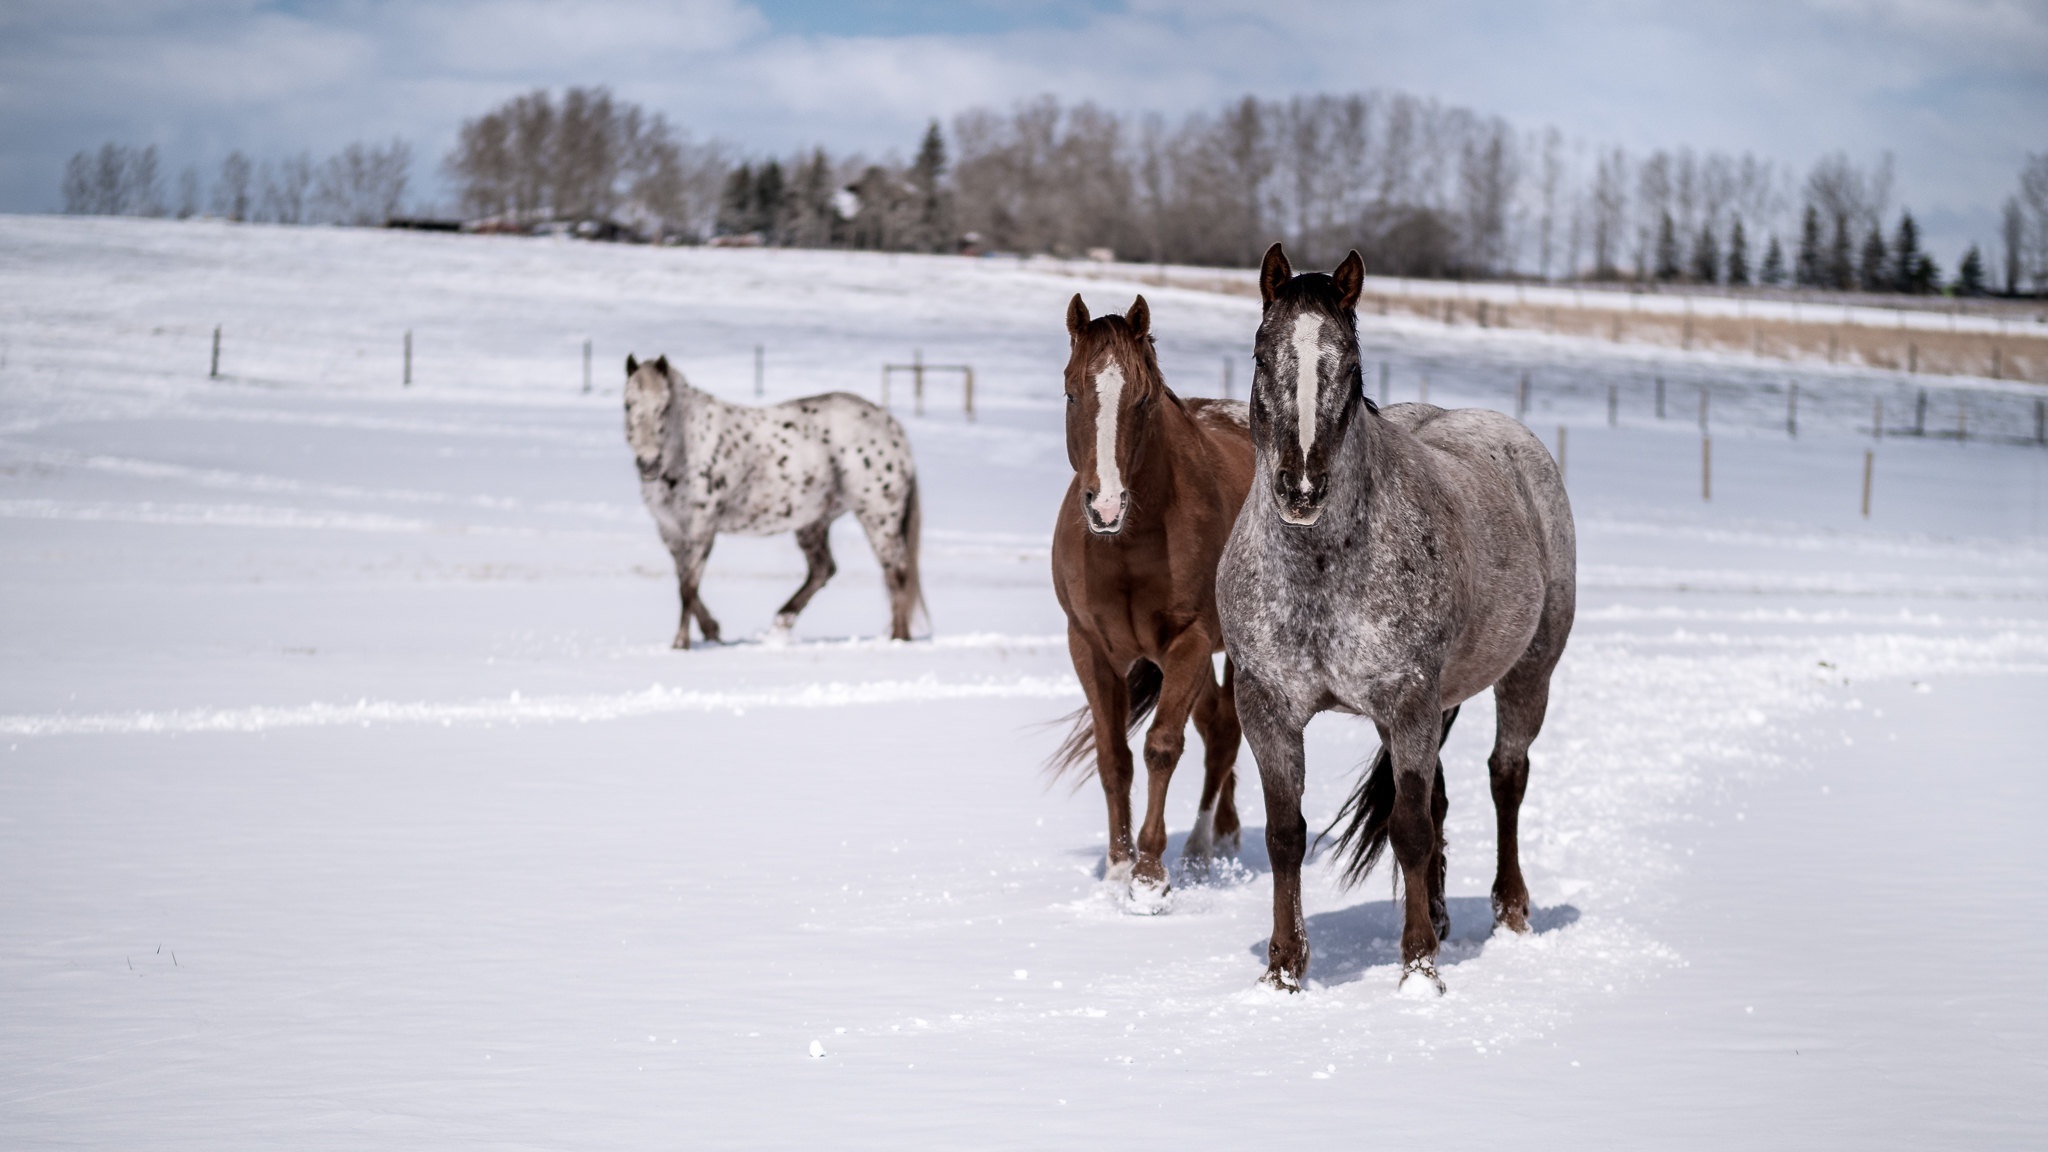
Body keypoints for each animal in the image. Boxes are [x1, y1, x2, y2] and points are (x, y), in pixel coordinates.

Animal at [614, 354, 921, 647]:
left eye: (664, 408)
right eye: (628, 405)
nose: (648, 463)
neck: (689, 449)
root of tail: (891, 426)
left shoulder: (701, 528)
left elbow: (688, 586)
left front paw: (681, 644)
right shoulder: (670, 530)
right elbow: (683, 580)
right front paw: (711, 630)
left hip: (878, 516)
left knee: (896, 572)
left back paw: (898, 637)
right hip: (814, 521)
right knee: (823, 569)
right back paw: (781, 622)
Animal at [1064, 291, 1253, 901]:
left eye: (1143, 399)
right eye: (1071, 390)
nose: (1105, 506)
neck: (1128, 543)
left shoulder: (1189, 642)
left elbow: (1161, 747)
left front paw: (1149, 875)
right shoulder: (1089, 648)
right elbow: (1114, 757)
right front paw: (1118, 865)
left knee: (1224, 732)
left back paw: (1199, 849)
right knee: (1217, 723)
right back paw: (1222, 835)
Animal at [1220, 243, 1572, 988]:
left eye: (1350, 366)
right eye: (1263, 355)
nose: (1301, 488)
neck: (1320, 572)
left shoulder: (1409, 699)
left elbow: (1409, 830)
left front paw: (1418, 969)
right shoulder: (1267, 705)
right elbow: (1286, 835)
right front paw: (1284, 971)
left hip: (1527, 675)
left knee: (1506, 777)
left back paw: (1511, 913)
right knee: (1438, 799)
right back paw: (1439, 914)